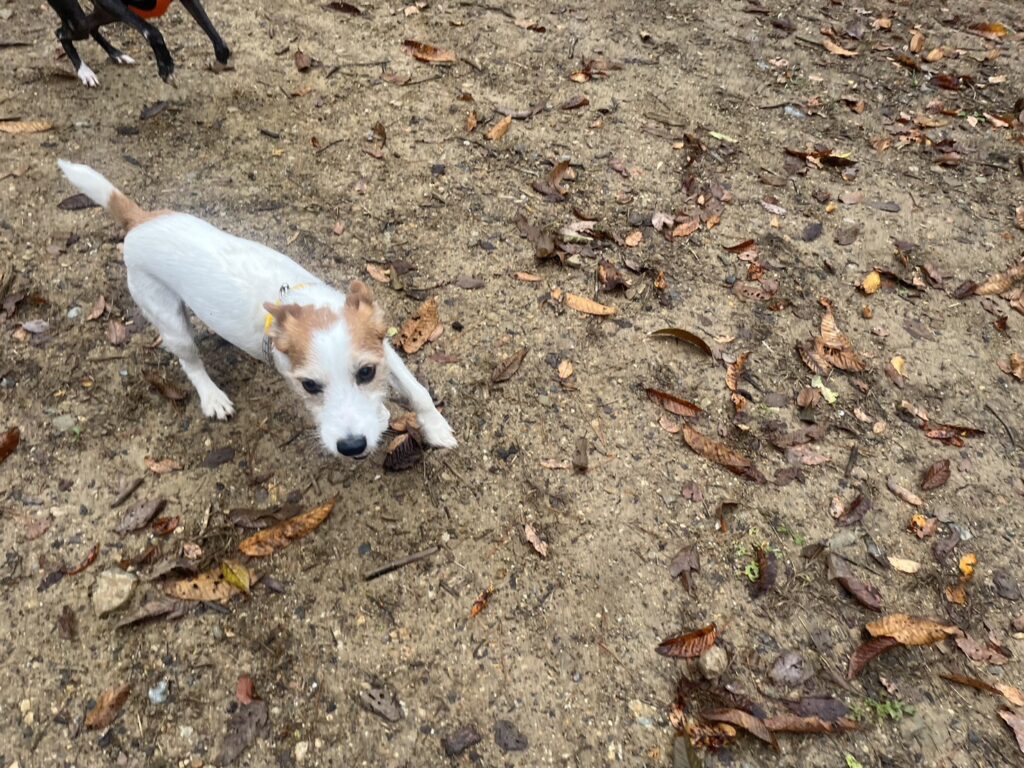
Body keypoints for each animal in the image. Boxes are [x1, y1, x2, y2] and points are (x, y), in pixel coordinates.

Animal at [46, 0, 230, 87]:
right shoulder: (112, 2)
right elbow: (153, 33)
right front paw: (166, 68)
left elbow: (219, 41)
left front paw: (218, 63)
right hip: (80, 21)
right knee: (61, 33)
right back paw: (84, 71)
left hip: (105, 14)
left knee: (90, 28)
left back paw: (116, 54)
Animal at [57, 160, 457, 459]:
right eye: (309, 385)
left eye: (366, 372)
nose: (352, 447)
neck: (305, 305)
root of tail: (139, 222)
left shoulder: (386, 349)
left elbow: (417, 391)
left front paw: (434, 426)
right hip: (169, 320)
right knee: (190, 361)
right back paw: (212, 397)